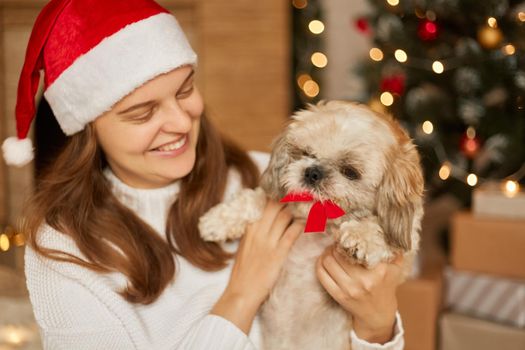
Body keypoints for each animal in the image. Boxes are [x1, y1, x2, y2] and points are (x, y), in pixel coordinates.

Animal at [199, 100, 424, 348]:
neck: (322, 227)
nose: (312, 172)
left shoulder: (408, 243)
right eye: (306, 153)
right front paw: (216, 221)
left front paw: (360, 239)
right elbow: (254, 199)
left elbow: (379, 229)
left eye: (350, 171)